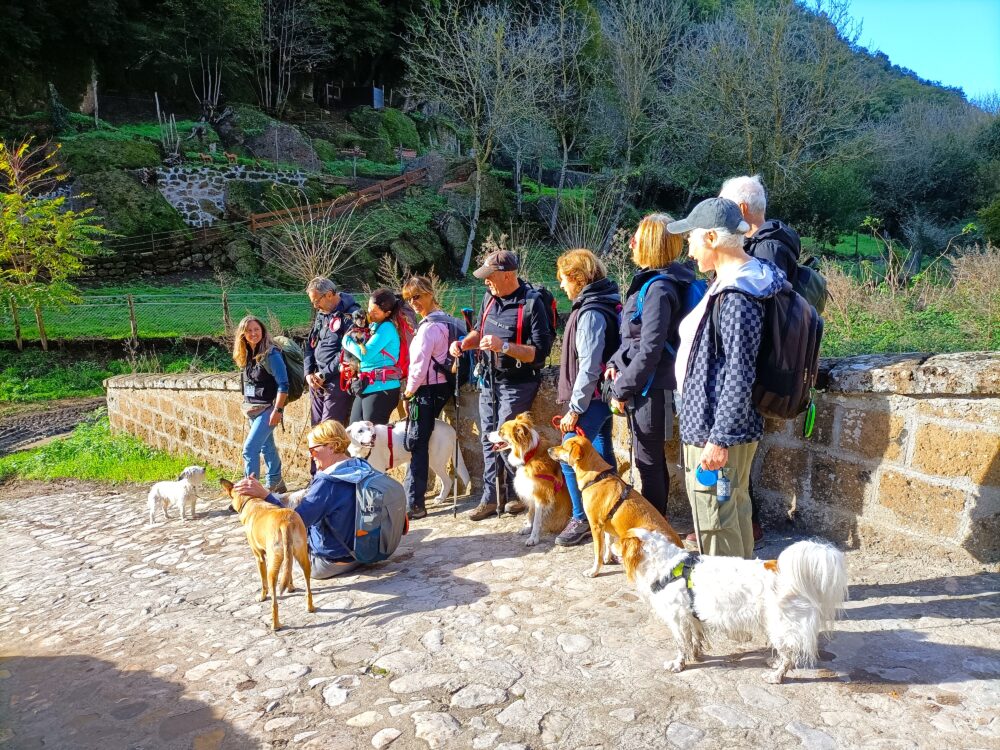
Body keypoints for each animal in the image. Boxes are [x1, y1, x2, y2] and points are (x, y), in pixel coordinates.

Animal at [221, 478, 314, 632]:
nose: (228, 508)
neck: (252, 500)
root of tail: (285, 521)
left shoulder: (259, 557)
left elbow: (262, 582)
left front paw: (262, 596)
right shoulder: (288, 556)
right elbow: (288, 573)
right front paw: (290, 587)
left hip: (272, 566)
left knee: (274, 601)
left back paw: (275, 625)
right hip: (302, 558)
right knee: (308, 587)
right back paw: (310, 607)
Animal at [486, 412, 572, 548]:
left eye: (501, 431)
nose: (486, 435)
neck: (529, 455)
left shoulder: (541, 496)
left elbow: (536, 520)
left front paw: (533, 538)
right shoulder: (531, 491)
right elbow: (530, 514)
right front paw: (527, 528)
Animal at [548, 434, 688, 580]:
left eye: (564, 447)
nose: (548, 450)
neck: (596, 477)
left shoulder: (595, 525)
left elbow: (598, 552)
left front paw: (594, 571)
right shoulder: (606, 524)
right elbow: (608, 543)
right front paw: (607, 558)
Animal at [620, 532, 848, 684]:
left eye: (620, 540)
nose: (612, 546)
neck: (667, 567)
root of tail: (784, 571)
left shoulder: (677, 619)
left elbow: (681, 645)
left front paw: (679, 664)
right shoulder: (690, 616)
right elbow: (695, 639)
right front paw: (696, 655)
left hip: (779, 627)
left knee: (789, 656)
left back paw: (776, 676)